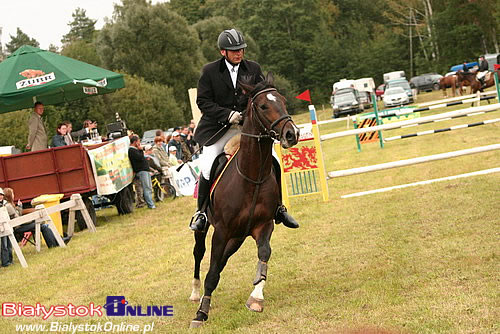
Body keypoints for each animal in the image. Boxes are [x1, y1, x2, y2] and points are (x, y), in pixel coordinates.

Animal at [188, 72, 298, 326]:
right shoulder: (221, 231)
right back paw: (196, 293)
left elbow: (264, 254)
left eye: (283, 101)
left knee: (221, 261)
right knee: (200, 255)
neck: (251, 179)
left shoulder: (263, 225)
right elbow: (210, 272)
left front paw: (256, 298)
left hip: (237, 237)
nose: (292, 134)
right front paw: (201, 313)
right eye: (263, 106)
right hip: (207, 229)